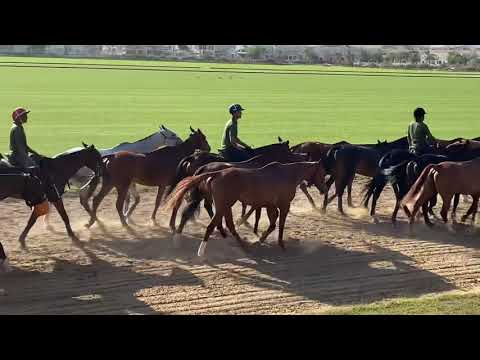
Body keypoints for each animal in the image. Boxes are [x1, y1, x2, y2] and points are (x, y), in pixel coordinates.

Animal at [165, 160, 326, 256]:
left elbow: (272, 224)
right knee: (211, 225)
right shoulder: (284, 204)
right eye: (323, 173)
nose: (324, 189)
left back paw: (243, 246)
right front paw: (281, 244)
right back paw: (201, 252)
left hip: (225, 205)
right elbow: (280, 224)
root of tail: (216, 172)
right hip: (224, 204)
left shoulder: (269, 205)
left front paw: (259, 239)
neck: (288, 174)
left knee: (228, 225)